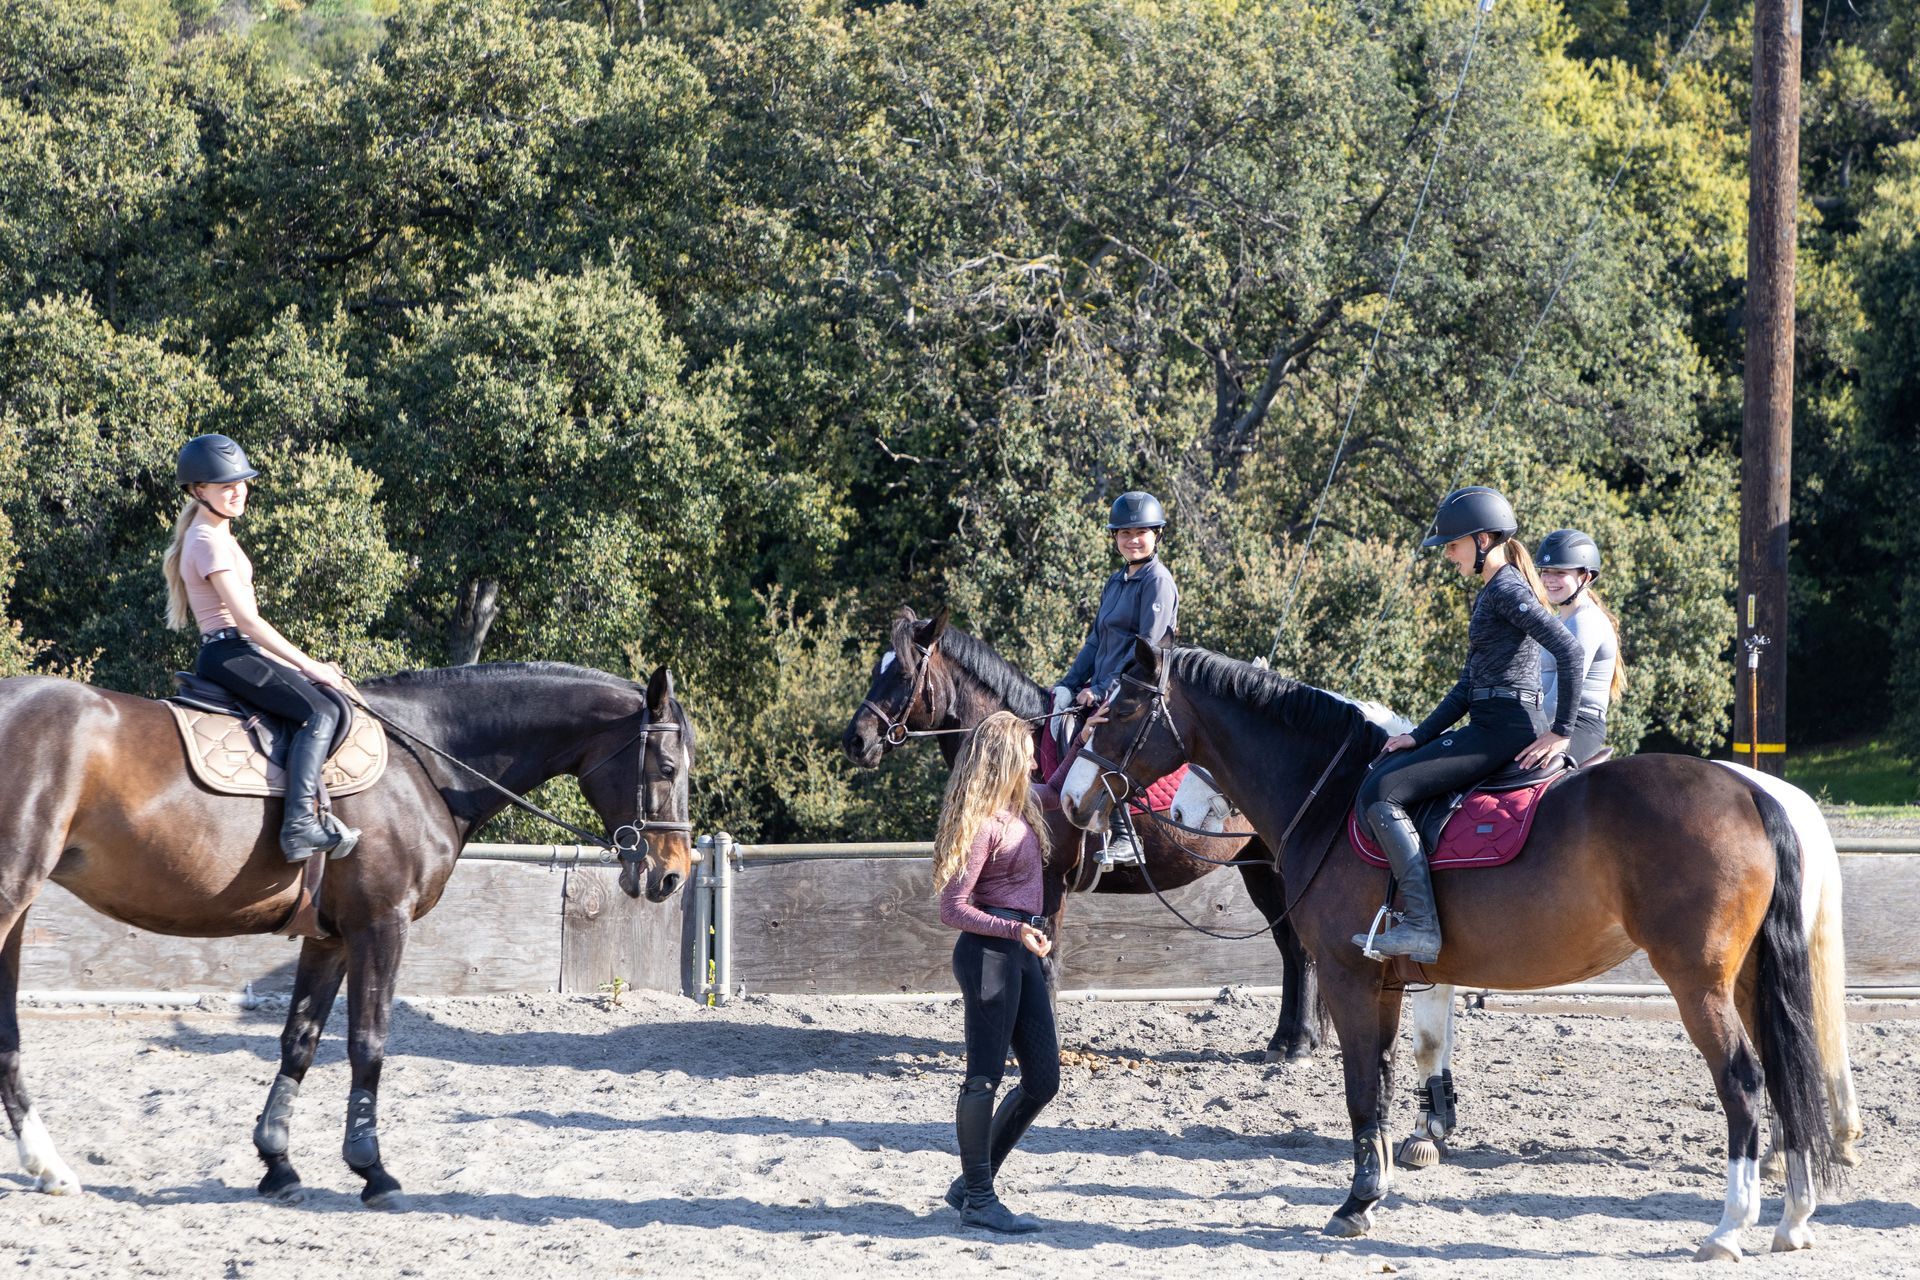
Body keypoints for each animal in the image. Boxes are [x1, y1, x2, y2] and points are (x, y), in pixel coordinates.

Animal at [0, 661, 694, 1207]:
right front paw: (372, 1169)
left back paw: (47, 1167)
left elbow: (300, 1041)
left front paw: (277, 1162)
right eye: (665, 766)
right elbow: (368, 1042)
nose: (672, 876)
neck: (426, 764)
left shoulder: (330, 937)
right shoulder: (380, 925)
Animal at [841, 605, 1327, 1061]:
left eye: (903, 673)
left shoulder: (1050, 881)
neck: (1028, 764)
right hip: (1256, 867)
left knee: (1299, 949)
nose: (855, 741)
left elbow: (1048, 961)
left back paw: (1298, 1043)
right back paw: (1286, 1039)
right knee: (1288, 945)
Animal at [1062, 640, 1852, 1261]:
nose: (1073, 797)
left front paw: (1356, 1202)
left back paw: (1729, 1227)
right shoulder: (1384, 982)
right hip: (1748, 978)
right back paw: (1794, 1218)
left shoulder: (1349, 977)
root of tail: (1752, 791)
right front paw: (1380, 1181)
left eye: (1123, 712)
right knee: (1789, 1072)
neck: (1335, 796)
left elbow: (1360, 1086)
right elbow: (1386, 1079)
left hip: (1699, 982)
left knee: (1745, 1082)